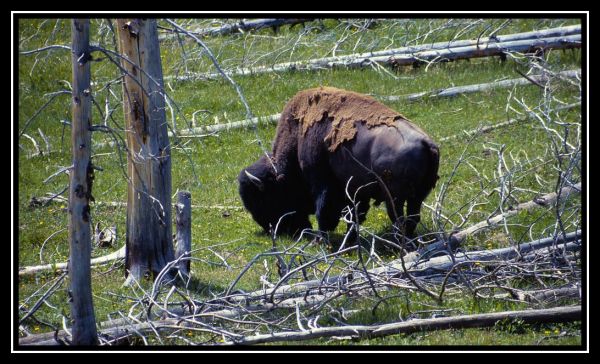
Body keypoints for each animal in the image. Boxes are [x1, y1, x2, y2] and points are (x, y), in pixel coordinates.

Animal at [239, 86, 440, 240]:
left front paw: (321, 240)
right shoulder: (356, 192)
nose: (275, 231)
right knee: (412, 217)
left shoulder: (322, 182)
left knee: (399, 219)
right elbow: (354, 216)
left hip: (395, 198)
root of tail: (426, 143)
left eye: (262, 199)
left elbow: (324, 212)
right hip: (417, 196)